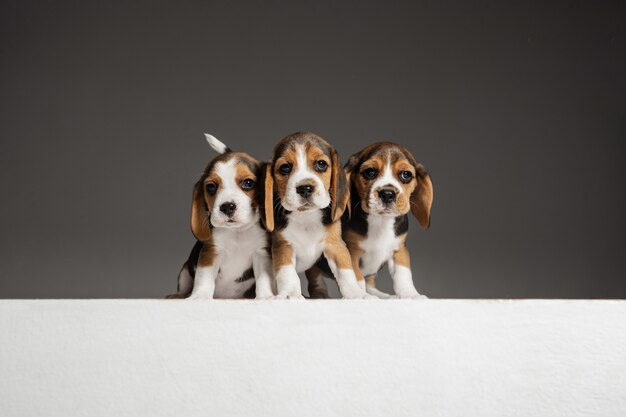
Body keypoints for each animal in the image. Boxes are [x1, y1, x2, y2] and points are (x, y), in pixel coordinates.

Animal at [167, 134, 272, 300]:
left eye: (248, 183)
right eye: (211, 187)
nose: (227, 206)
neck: (237, 232)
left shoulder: (262, 254)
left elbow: (264, 278)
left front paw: (266, 296)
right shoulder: (211, 253)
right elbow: (204, 278)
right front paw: (199, 296)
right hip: (184, 270)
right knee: (183, 287)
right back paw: (179, 295)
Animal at [262, 132, 372, 298]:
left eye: (321, 164)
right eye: (285, 168)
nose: (305, 188)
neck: (306, 217)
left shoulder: (335, 244)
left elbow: (345, 271)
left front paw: (356, 293)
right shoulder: (283, 246)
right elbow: (287, 273)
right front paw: (290, 293)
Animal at [338, 143, 432, 300]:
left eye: (406, 175)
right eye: (370, 172)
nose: (387, 194)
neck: (380, 221)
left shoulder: (399, 248)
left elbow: (403, 274)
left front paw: (410, 295)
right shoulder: (351, 251)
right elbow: (356, 278)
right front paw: (360, 295)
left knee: (370, 282)